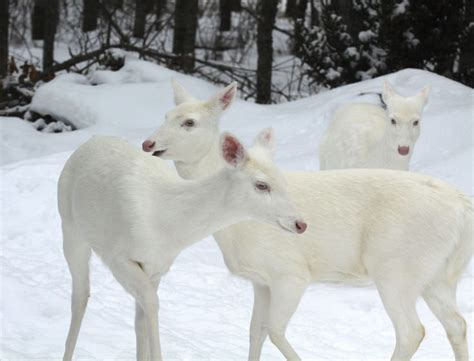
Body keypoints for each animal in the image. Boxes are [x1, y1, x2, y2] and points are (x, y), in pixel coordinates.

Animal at [59, 132, 306, 360]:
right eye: (261, 185)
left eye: (284, 181)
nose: (301, 223)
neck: (168, 225)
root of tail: (89, 141)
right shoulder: (116, 255)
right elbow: (152, 304)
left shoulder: (157, 265)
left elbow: (144, 315)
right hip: (70, 228)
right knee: (80, 296)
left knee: (135, 317)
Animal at [143, 81, 472, 360]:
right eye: (166, 115)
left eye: (189, 122)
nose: (148, 143)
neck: (233, 229)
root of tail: (463, 209)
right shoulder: (261, 280)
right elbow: (255, 331)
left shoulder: (290, 271)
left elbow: (274, 330)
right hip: (437, 275)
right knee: (457, 324)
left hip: (396, 267)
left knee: (412, 331)